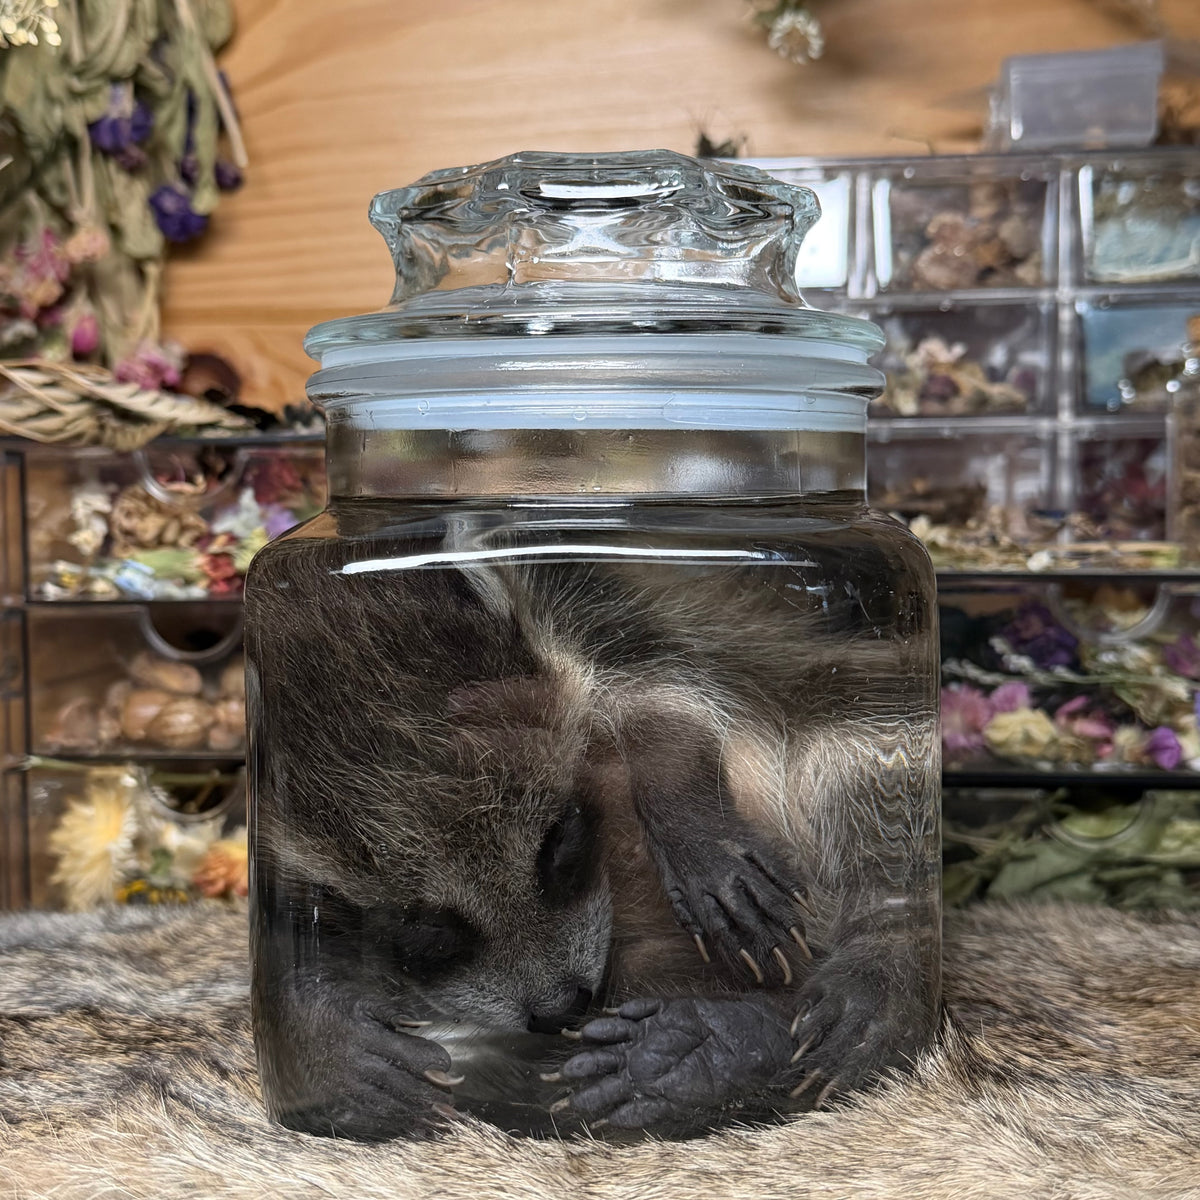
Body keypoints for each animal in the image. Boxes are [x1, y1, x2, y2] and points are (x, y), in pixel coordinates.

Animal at [245, 501, 941, 1142]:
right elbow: (291, 934)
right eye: (426, 934)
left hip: (871, 714)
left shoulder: (607, 604)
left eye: (558, 845)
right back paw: (718, 1046)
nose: (562, 1011)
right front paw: (313, 1034)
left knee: (865, 795)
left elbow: (672, 698)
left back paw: (863, 970)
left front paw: (692, 823)